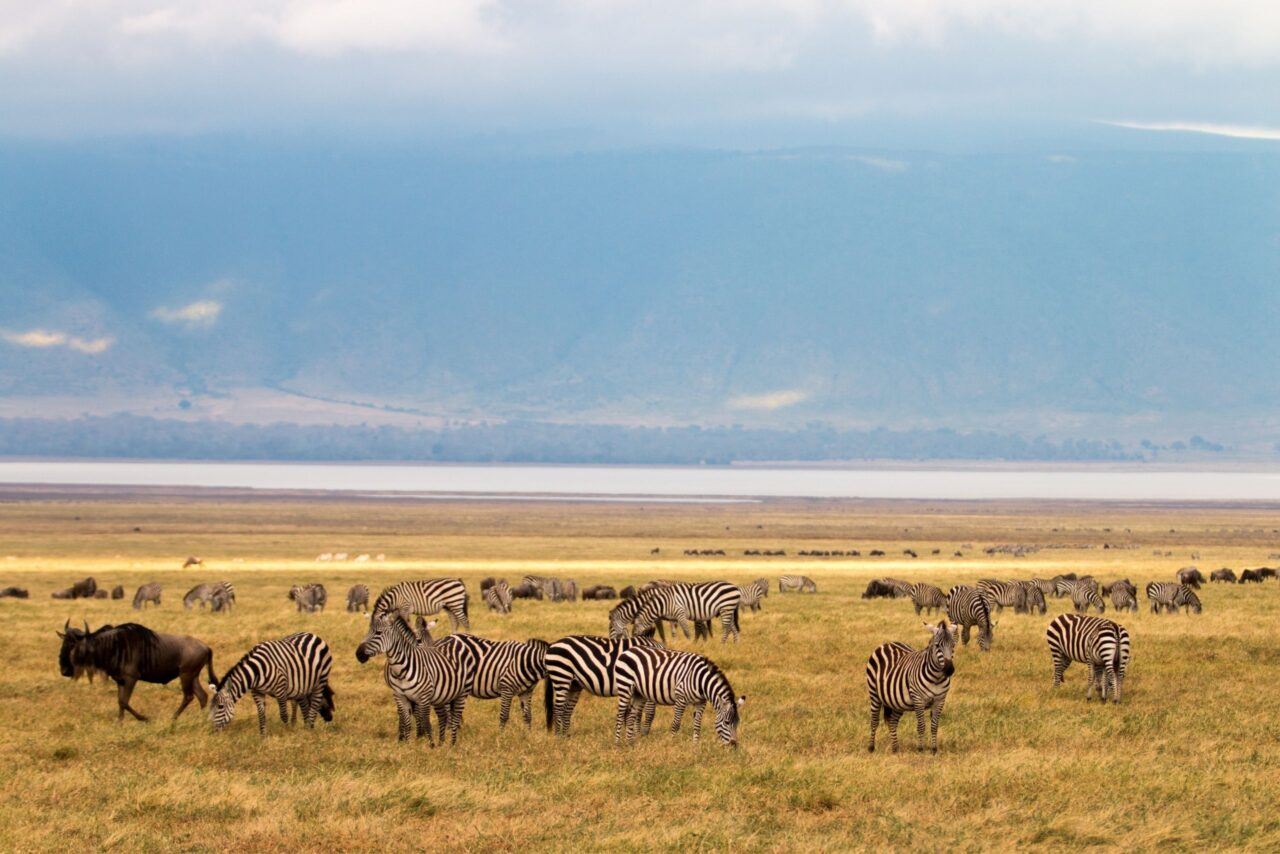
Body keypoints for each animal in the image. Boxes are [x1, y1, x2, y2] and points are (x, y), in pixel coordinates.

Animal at [356, 611, 472, 744]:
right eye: (419, 640)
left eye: (378, 633)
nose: (358, 655)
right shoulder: (400, 693)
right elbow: (408, 715)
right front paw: (411, 737)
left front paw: (423, 736)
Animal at [613, 646, 744, 747]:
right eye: (727, 722)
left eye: (738, 723)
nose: (734, 745)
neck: (701, 681)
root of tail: (628, 650)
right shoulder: (681, 698)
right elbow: (676, 724)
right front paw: (672, 742)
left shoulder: (700, 702)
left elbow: (697, 725)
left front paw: (695, 746)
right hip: (625, 686)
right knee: (620, 715)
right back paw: (617, 743)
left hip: (639, 693)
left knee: (631, 715)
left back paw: (630, 742)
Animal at [866, 620, 958, 754]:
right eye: (937, 646)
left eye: (953, 645)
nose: (949, 670)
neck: (936, 678)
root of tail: (888, 643)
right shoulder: (918, 699)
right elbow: (921, 725)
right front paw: (920, 748)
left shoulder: (940, 700)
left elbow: (934, 725)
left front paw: (933, 749)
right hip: (874, 694)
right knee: (874, 721)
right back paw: (871, 747)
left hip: (897, 701)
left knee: (892, 722)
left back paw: (895, 748)